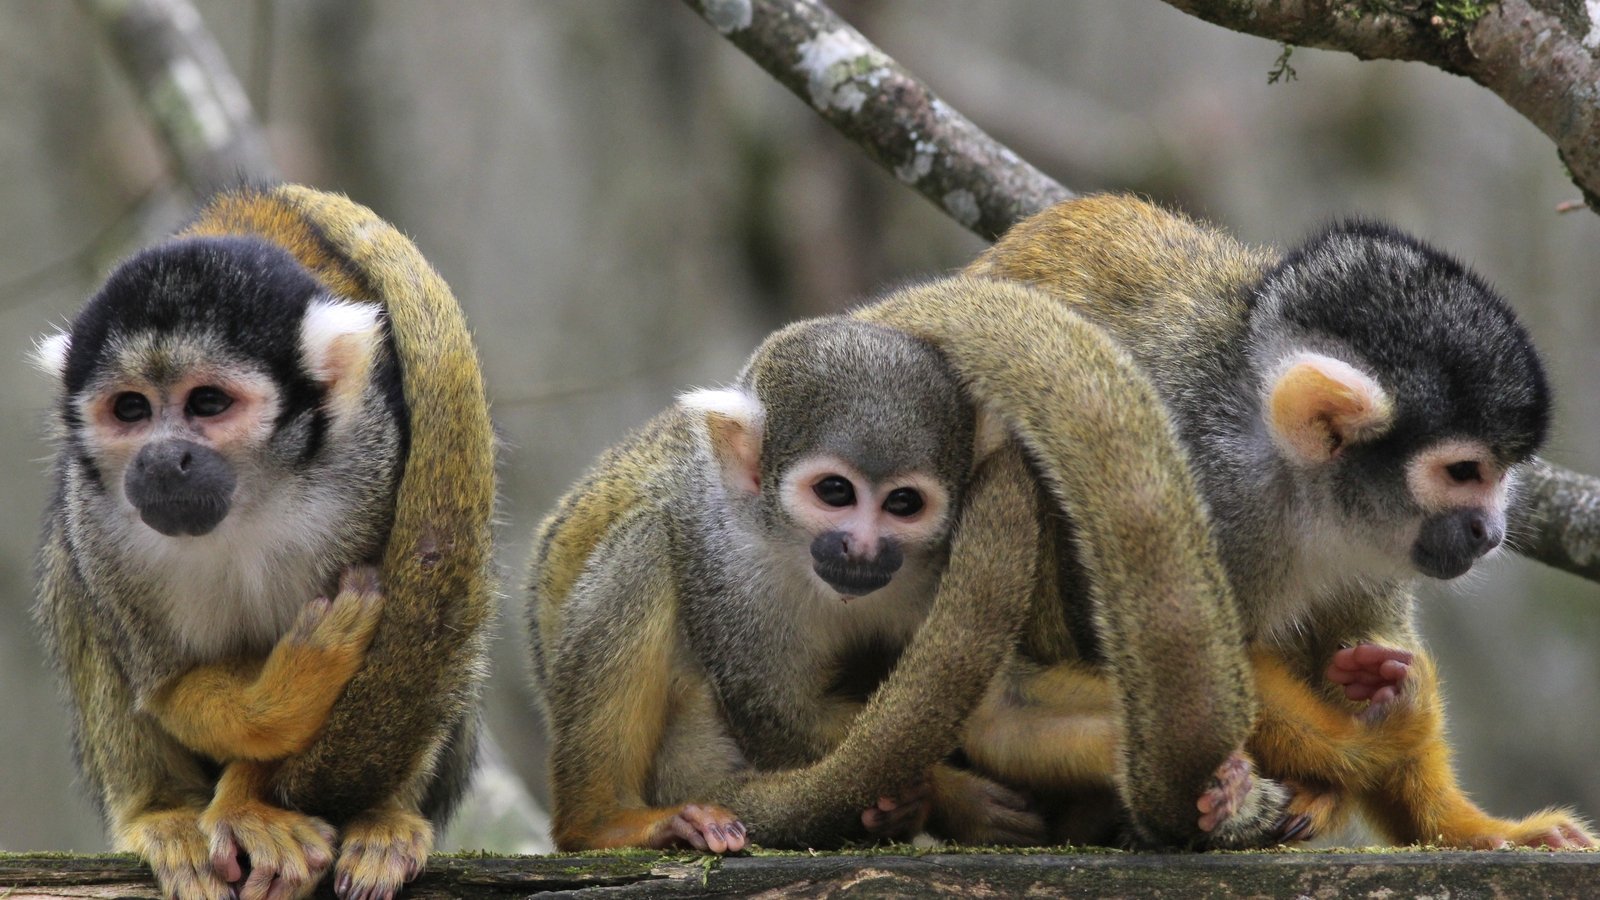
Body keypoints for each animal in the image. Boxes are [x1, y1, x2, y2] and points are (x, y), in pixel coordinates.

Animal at [36, 185, 492, 896]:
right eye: (131, 409)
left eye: (208, 403)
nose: (163, 460)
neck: (250, 501)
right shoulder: (100, 528)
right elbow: (170, 689)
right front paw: (286, 695)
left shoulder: (372, 468)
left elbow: (422, 639)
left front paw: (250, 800)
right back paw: (158, 813)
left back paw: (383, 814)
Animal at [908, 192, 1593, 845]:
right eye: (1464, 473)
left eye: (1500, 473)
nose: (1490, 532)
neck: (1292, 486)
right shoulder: (1210, 485)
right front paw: (1372, 734)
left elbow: (1368, 630)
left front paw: (1474, 829)